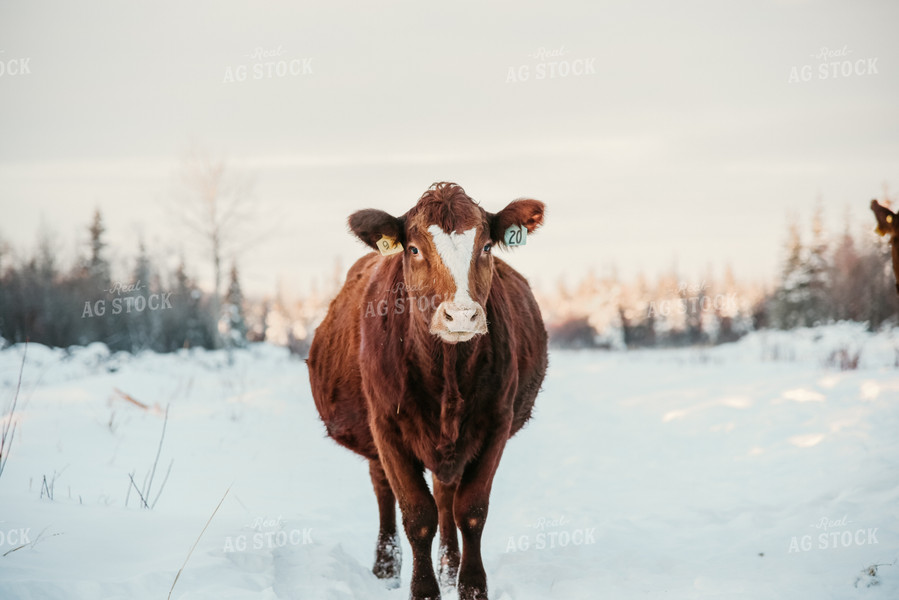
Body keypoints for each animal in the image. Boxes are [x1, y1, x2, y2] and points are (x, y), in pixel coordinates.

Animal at [310, 183, 548, 600]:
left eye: (487, 246)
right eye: (414, 249)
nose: (461, 315)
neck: (448, 373)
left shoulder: (496, 422)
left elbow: (470, 510)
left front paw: (470, 586)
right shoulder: (386, 426)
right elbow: (417, 515)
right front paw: (423, 589)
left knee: (445, 495)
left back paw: (449, 568)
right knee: (384, 490)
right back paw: (386, 567)